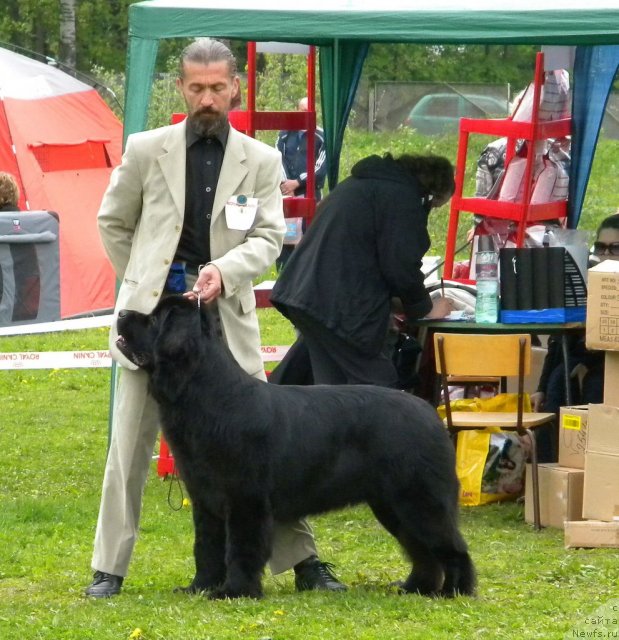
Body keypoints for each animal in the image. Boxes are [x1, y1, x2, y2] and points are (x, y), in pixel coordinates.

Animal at [115, 296, 474, 600]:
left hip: (419, 499)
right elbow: (206, 548)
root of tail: (429, 413)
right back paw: (416, 588)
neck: (205, 394)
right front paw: (199, 588)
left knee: (451, 546)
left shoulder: (245, 500)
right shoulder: (206, 501)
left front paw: (234, 591)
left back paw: (456, 592)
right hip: (392, 505)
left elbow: (241, 549)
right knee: (422, 551)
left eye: (154, 319)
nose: (121, 313)